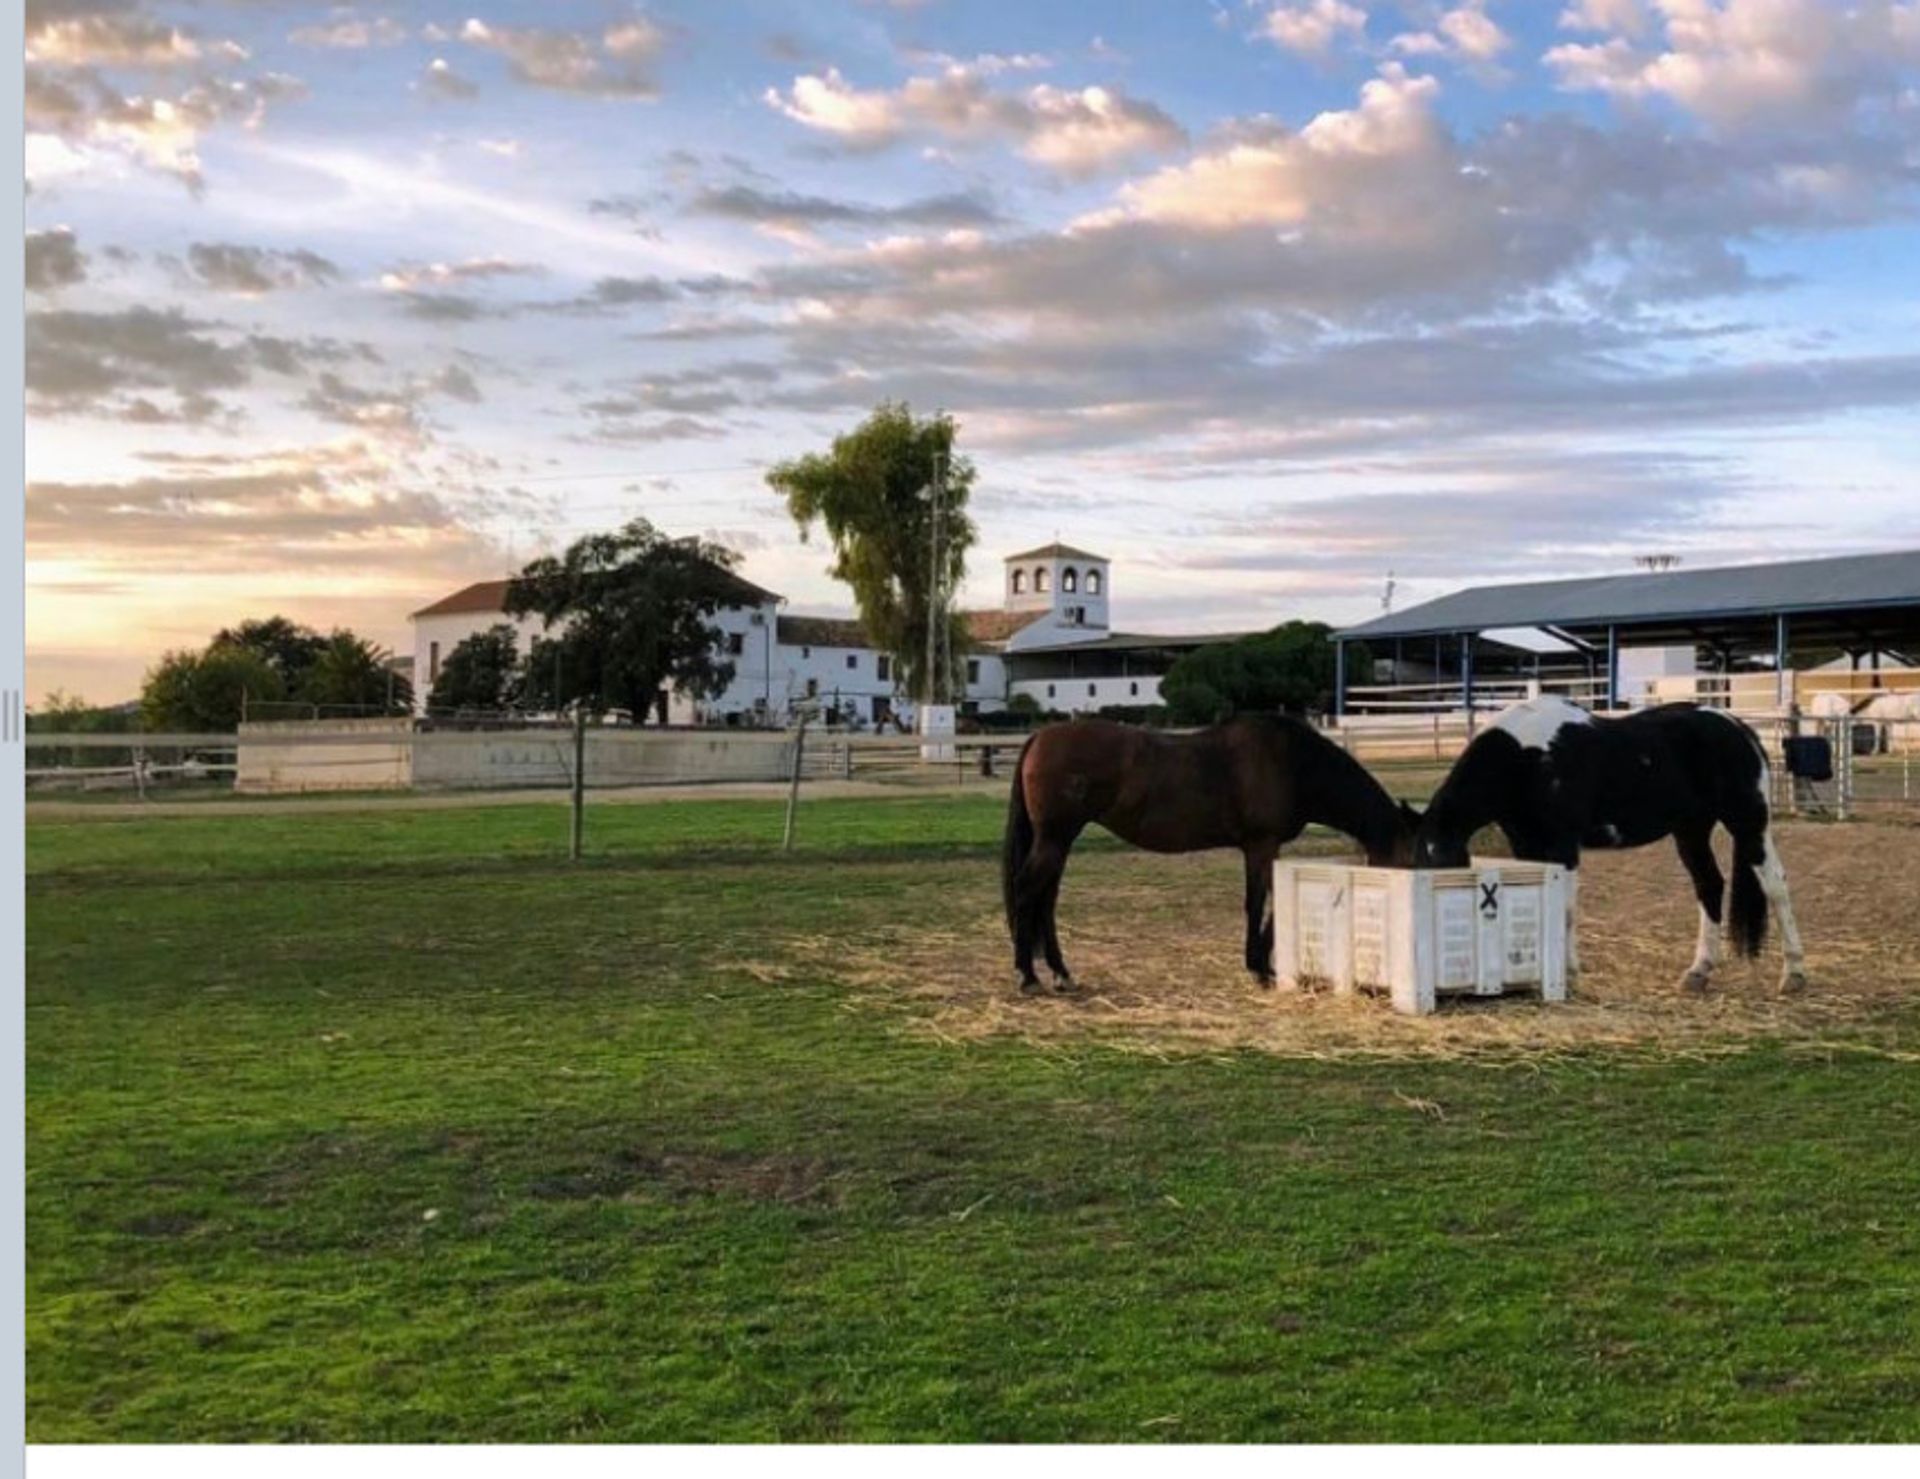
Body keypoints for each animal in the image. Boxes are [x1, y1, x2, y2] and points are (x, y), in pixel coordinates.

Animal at [998, 714, 1420, 991]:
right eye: (1410, 860)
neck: (1293, 763)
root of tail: (1039, 737)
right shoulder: (1261, 844)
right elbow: (1258, 902)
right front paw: (1258, 968)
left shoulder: (1262, 848)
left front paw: (1260, 964)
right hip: (1055, 839)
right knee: (1027, 891)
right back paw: (1027, 975)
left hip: (1058, 841)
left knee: (1046, 898)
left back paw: (1060, 972)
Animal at [1413, 695, 1797, 991]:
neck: (1528, 759)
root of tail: (1739, 728)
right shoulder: (1526, 846)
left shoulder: (1563, 847)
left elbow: (1565, 911)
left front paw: (1569, 973)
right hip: (1691, 830)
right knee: (1709, 885)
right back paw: (1698, 972)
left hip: (1748, 823)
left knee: (1776, 885)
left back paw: (1793, 974)